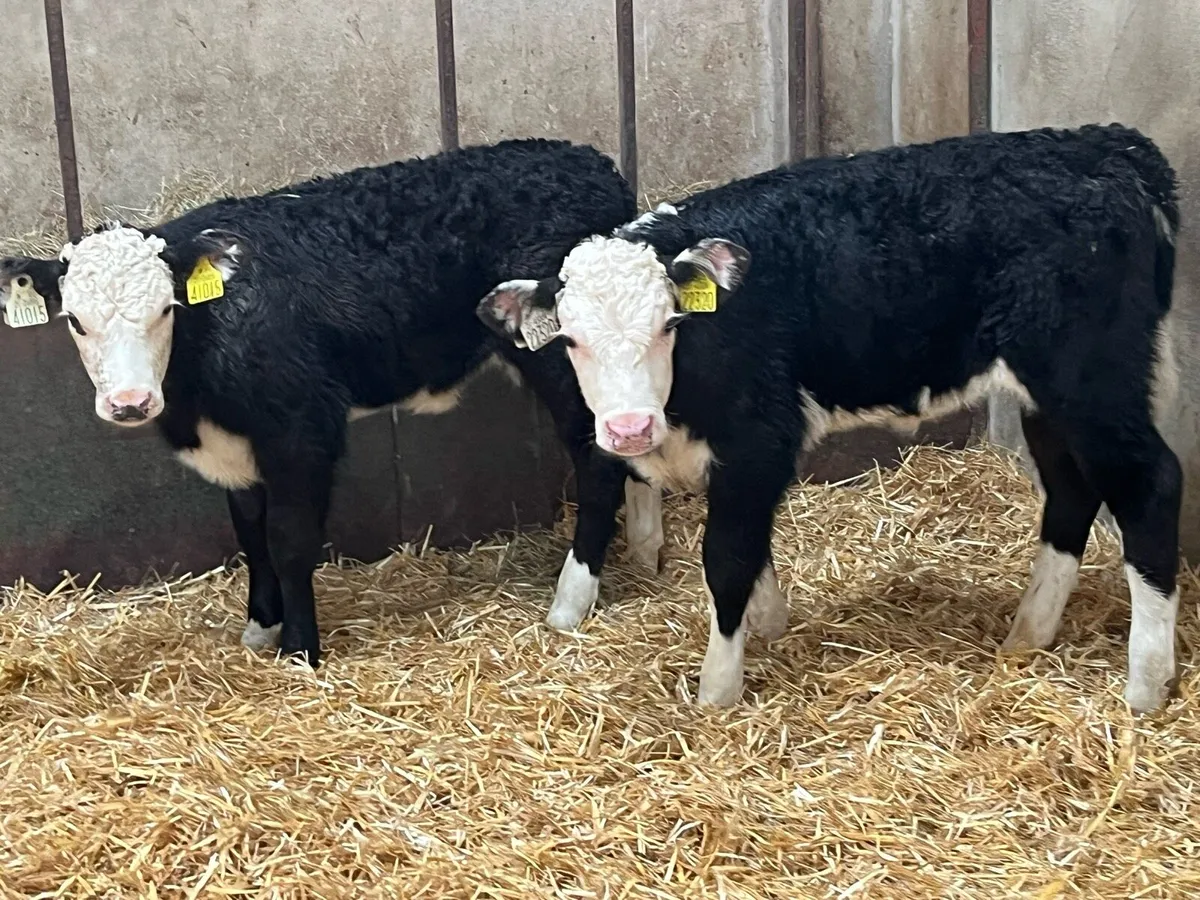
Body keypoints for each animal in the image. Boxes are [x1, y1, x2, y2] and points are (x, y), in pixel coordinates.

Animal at [0, 138, 662, 666]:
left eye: (166, 309)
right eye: (75, 321)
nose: (131, 402)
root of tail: (587, 161)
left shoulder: (300, 428)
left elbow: (289, 539)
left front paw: (299, 651)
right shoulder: (238, 445)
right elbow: (250, 533)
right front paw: (259, 629)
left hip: (561, 358)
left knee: (598, 458)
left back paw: (571, 601)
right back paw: (645, 552)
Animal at [479, 124, 1183, 713]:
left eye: (670, 324)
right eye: (570, 340)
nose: (629, 429)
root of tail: (1107, 146)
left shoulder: (760, 437)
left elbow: (727, 557)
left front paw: (717, 691)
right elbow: (752, 552)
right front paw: (769, 627)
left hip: (1090, 379)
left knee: (1151, 484)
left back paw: (1145, 685)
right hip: (1048, 398)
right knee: (1070, 491)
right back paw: (1027, 638)